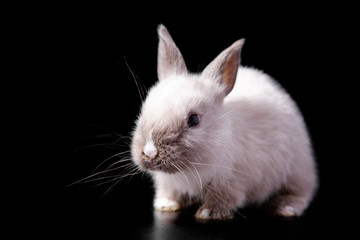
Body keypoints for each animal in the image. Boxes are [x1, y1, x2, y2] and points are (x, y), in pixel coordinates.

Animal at [131, 24, 316, 221]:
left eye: (193, 120)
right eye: (144, 110)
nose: (150, 153)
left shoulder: (232, 181)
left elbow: (223, 197)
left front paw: (208, 213)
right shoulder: (167, 182)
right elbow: (170, 192)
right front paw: (166, 205)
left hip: (297, 171)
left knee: (301, 193)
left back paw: (286, 207)